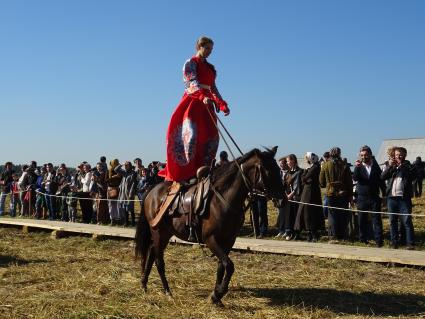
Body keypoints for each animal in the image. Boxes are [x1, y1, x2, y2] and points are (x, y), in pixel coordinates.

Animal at [134, 147, 284, 304]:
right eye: (268, 171)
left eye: (278, 169)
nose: (283, 200)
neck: (223, 200)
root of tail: (151, 191)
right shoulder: (210, 239)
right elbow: (229, 265)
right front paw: (218, 293)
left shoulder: (228, 241)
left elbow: (221, 266)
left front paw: (216, 296)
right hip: (158, 232)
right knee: (158, 260)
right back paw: (167, 291)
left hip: (165, 233)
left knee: (151, 253)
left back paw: (144, 285)